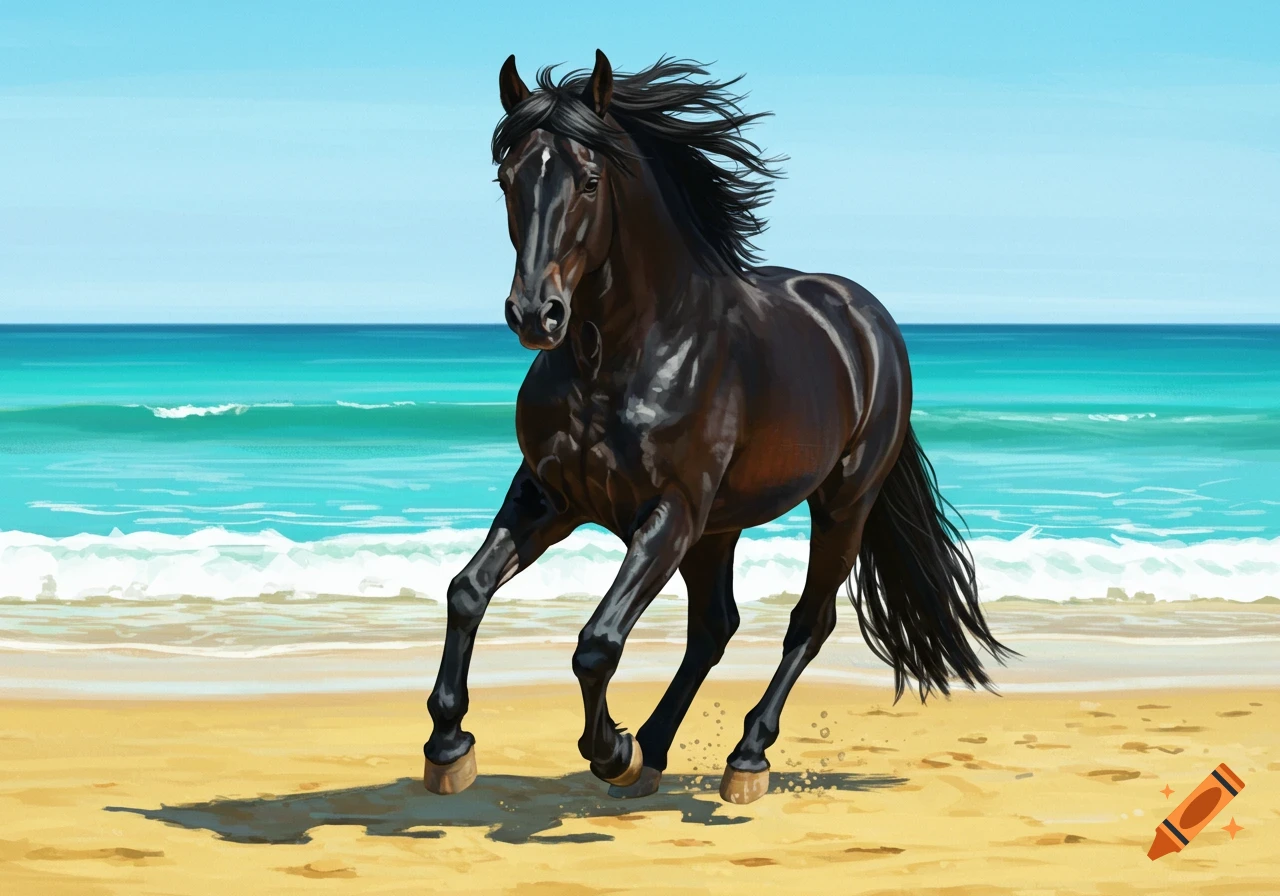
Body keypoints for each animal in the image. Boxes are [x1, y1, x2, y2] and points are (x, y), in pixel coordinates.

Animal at [423, 51, 1012, 804]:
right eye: (507, 179)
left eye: (589, 180)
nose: (536, 314)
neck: (623, 354)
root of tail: (866, 317)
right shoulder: (550, 497)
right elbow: (466, 592)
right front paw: (449, 745)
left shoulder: (669, 510)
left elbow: (598, 642)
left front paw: (609, 750)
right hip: (720, 526)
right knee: (714, 627)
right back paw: (655, 751)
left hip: (840, 502)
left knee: (808, 622)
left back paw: (743, 758)